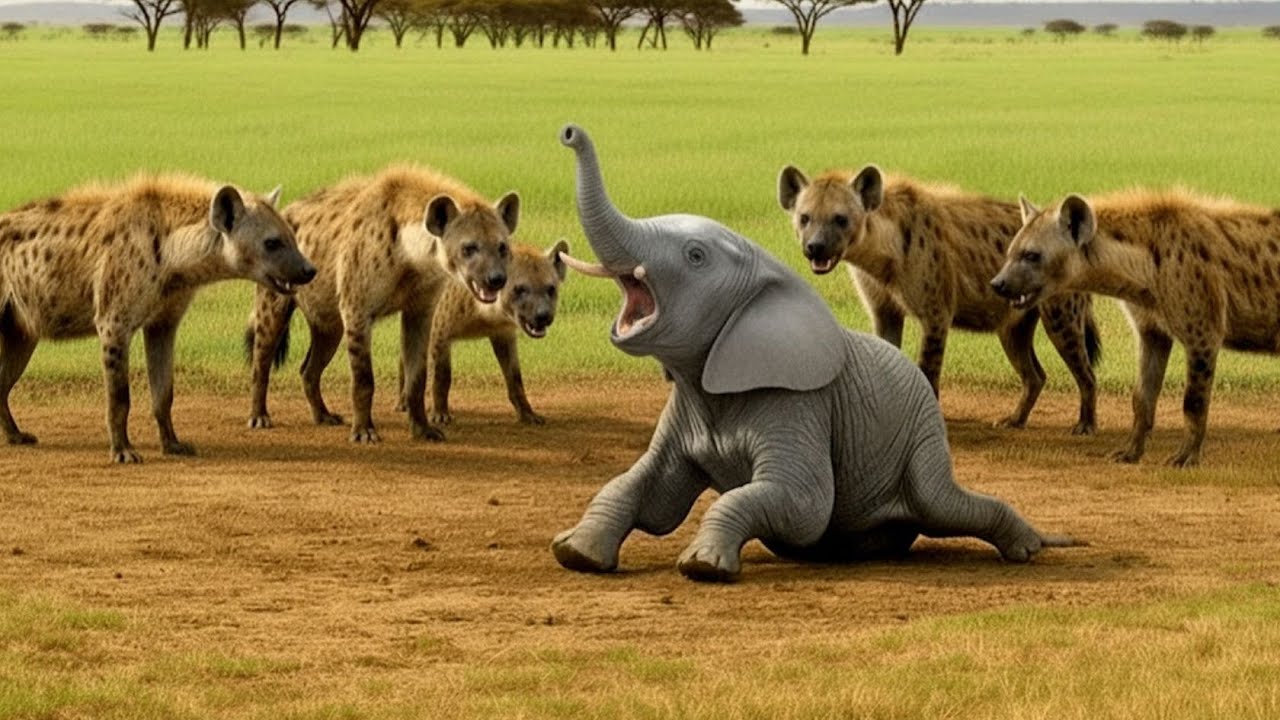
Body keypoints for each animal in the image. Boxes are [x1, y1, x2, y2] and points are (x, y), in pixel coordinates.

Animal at [550, 124, 1082, 582]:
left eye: (695, 257)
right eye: (803, 218)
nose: (569, 132)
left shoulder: (803, 406)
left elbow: (802, 502)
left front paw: (704, 566)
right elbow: (647, 492)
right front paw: (574, 552)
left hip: (925, 439)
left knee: (944, 504)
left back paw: (1028, 545)